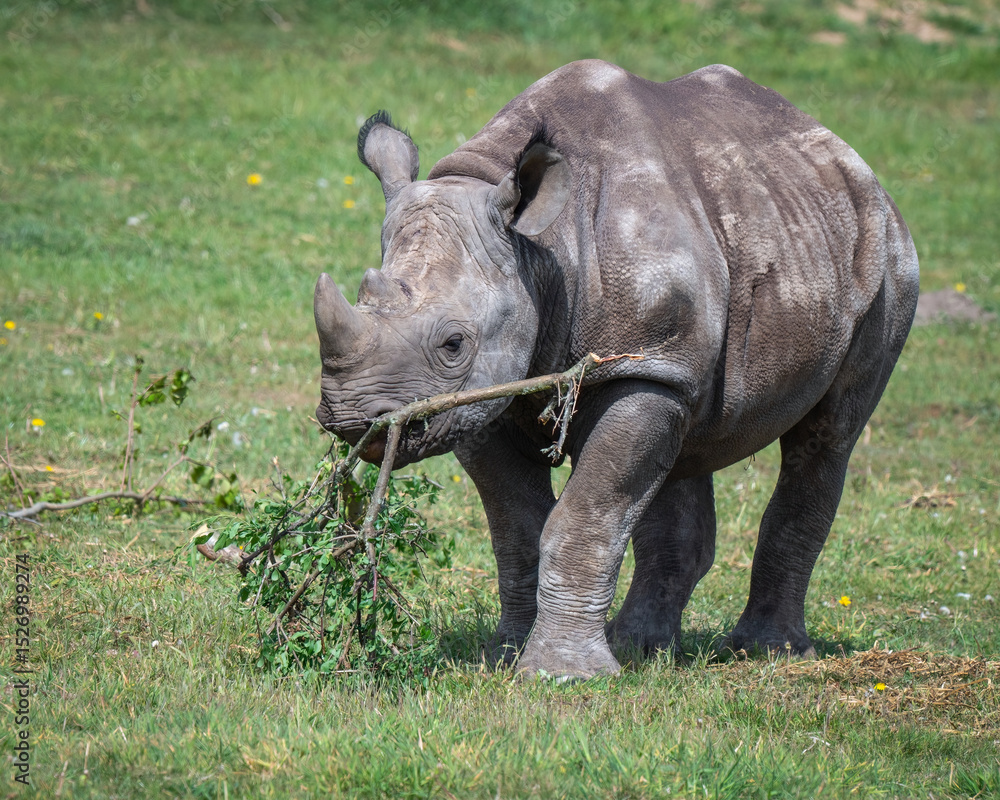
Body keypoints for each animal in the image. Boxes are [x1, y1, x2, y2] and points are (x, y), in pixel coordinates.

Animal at [314, 61, 919, 679]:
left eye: (454, 343)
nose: (351, 417)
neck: (539, 249)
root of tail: (853, 161)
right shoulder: (481, 399)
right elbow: (517, 528)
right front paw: (505, 656)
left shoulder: (639, 366)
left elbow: (586, 517)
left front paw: (563, 675)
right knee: (685, 443)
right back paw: (644, 651)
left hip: (888, 261)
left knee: (828, 436)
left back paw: (768, 653)